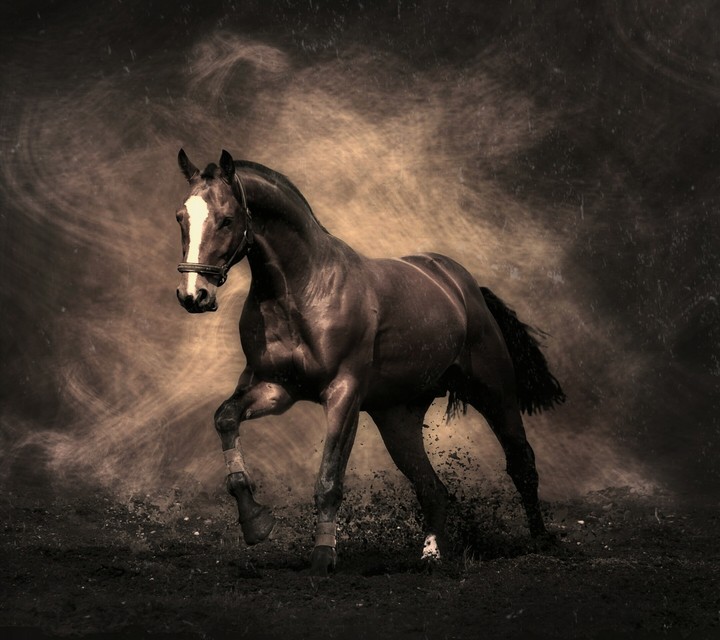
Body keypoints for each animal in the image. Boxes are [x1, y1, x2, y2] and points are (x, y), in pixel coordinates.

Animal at [174, 149, 565, 575]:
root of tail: (463, 286)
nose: (193, 295)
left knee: (521, 462)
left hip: (494, 392)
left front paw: (322, 558)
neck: (302, 290)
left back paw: (540, 541)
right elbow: (225, 418)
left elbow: (329, 479)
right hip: (397, 418)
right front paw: (256, 523)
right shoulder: (275, 389)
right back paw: (433, 555)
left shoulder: (344, 394)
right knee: (431, 488)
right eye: (181, 217)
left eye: (227, 218)